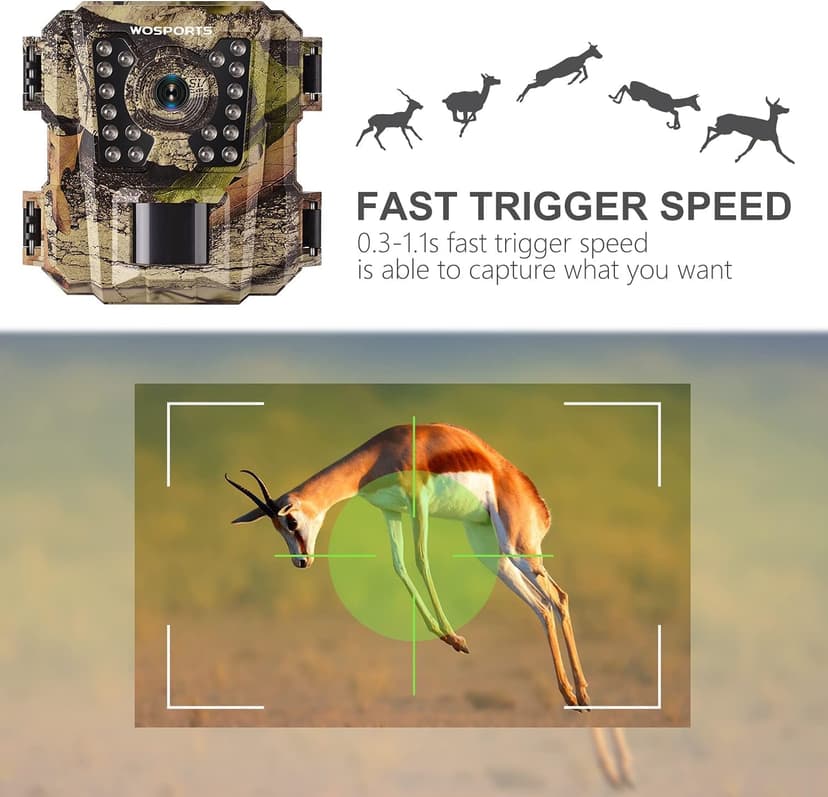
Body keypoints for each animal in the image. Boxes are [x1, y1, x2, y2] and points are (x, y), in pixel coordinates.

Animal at [225, 422, 635, 788]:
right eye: (278, 528)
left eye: (291, 521)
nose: (301, 562)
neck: (380, 453)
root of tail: (535, 500)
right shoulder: (390, 512)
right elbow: (400, 566)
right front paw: (451, 640)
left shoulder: (416, 501)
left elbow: (421, 559)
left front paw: (456, 637)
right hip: (493, 556)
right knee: (543, 607)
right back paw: (575, 700)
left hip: (519, 548)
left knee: (558, 597)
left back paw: (583, 700)